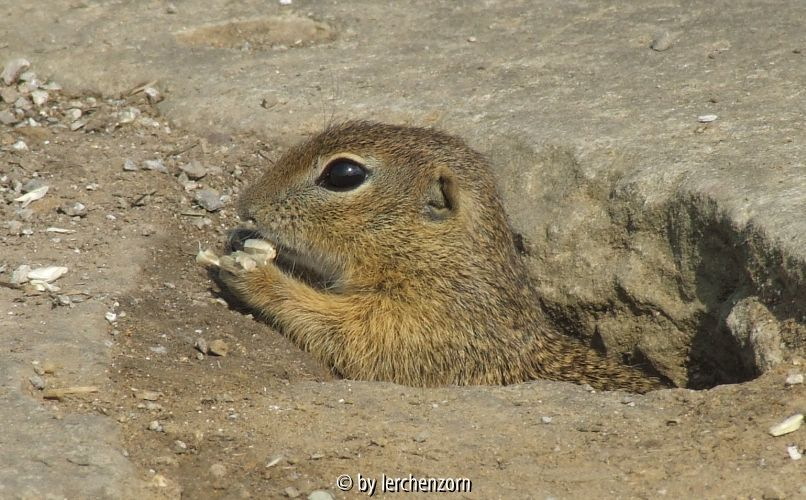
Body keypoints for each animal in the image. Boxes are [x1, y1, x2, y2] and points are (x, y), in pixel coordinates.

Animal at [218, 122, 664, 394]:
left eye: (343, 174)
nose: (246, 205)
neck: (440, 264)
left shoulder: (418, 328)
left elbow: (345, 336)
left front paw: (254, 272)